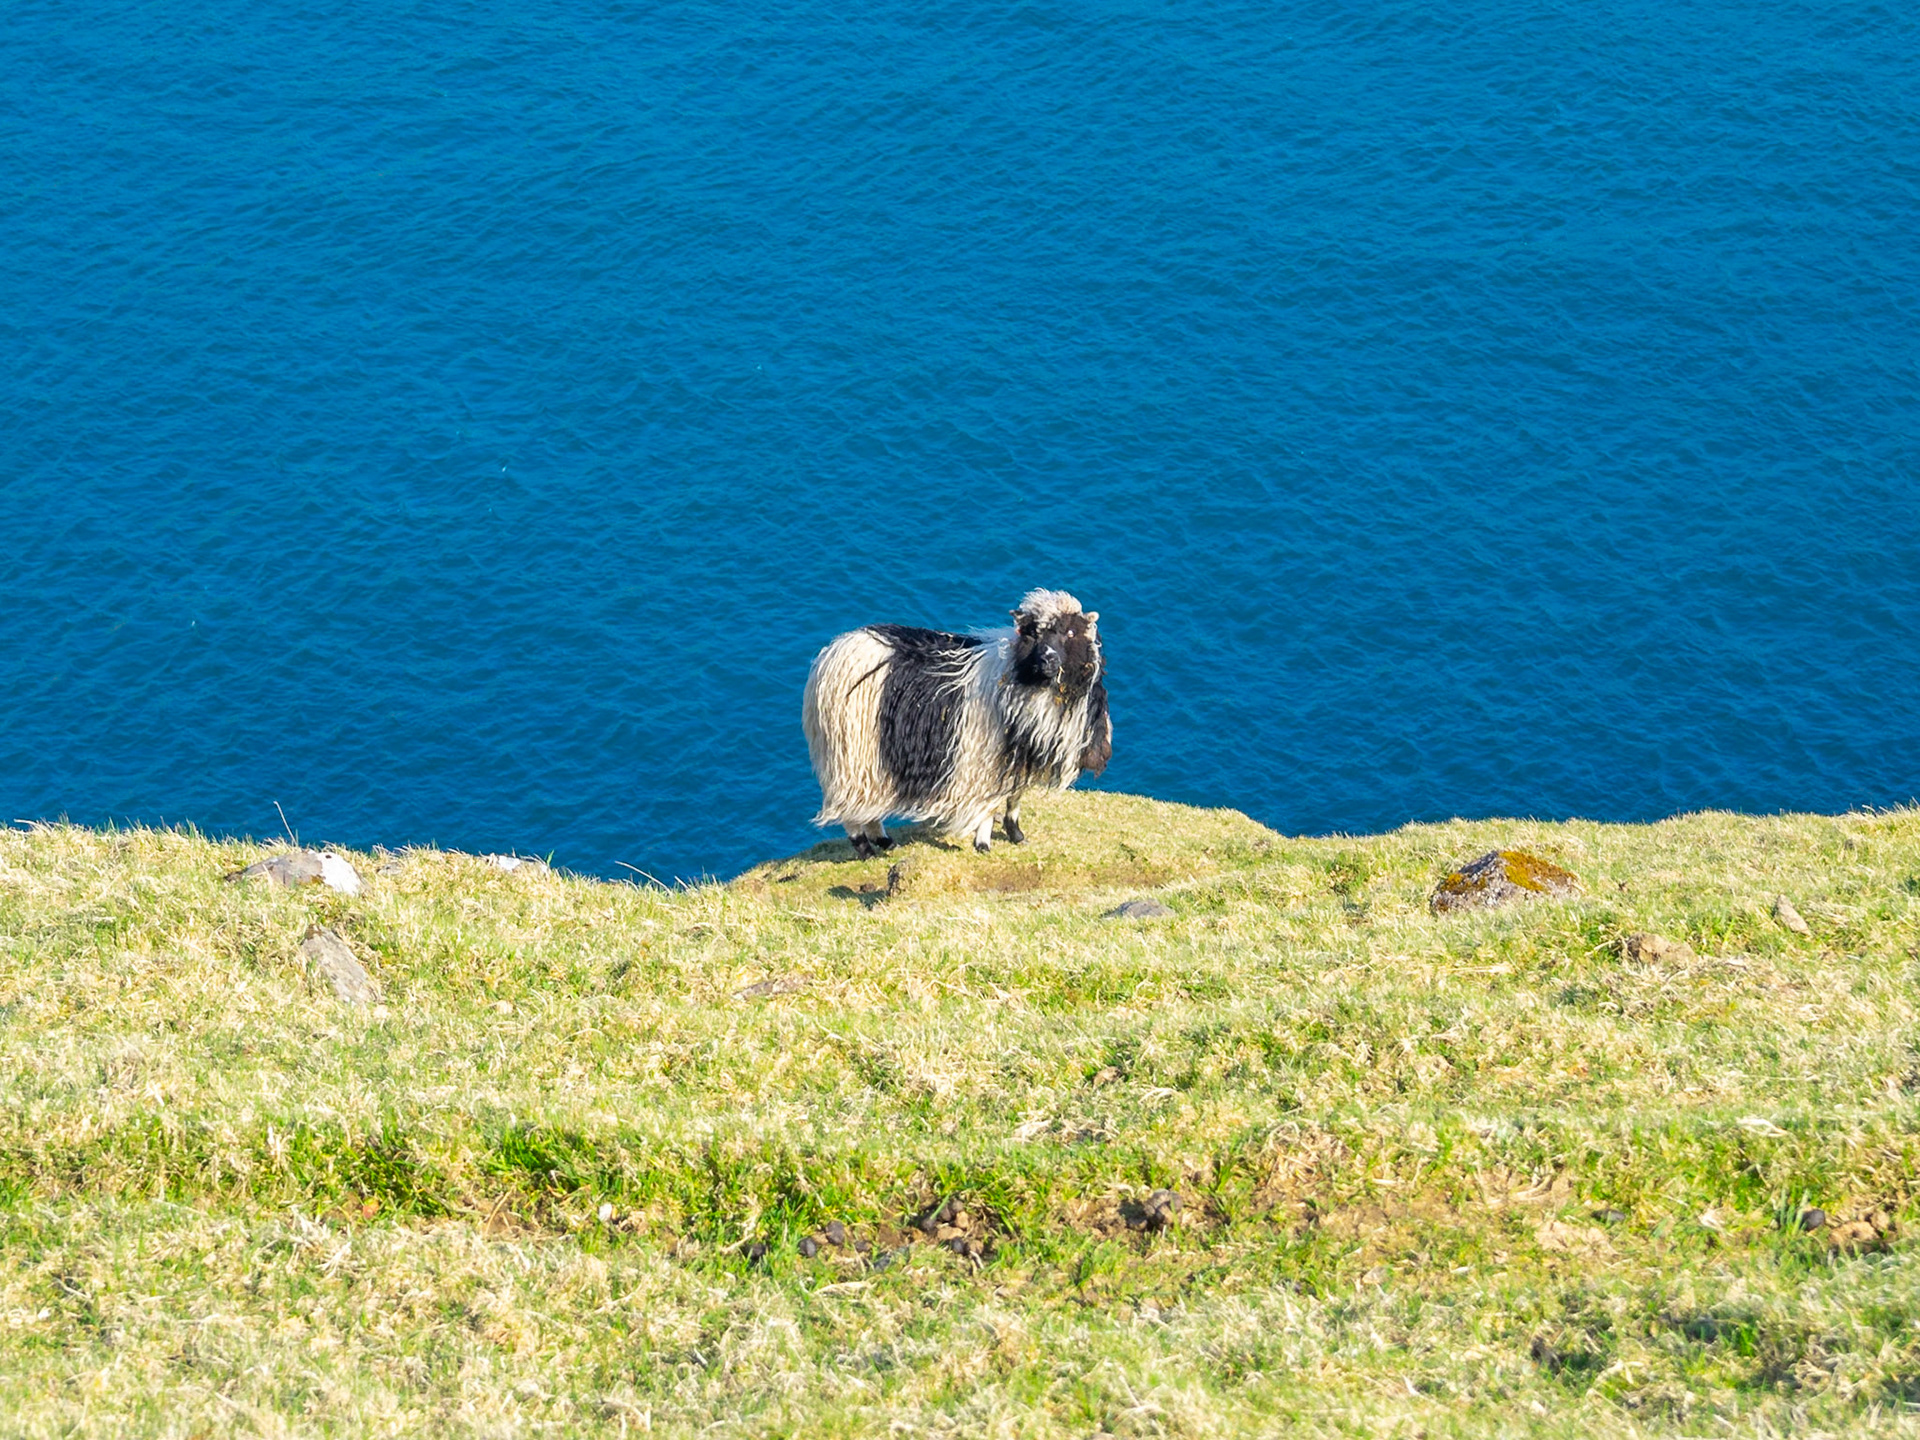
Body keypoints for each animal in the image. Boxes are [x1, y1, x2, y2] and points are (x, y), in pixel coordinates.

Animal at [803, 589, 1111, 857]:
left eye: (1071, 632)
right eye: (1033, 633)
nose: (1048, 661)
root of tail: (831, 653)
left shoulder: (1017, 758)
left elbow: (1014, 798)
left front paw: (1016, 835)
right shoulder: (985, 762)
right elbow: (990, 807)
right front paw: (983, 844)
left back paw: (884, 842)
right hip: (853, 756)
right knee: (852, 811)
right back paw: (867, 849)